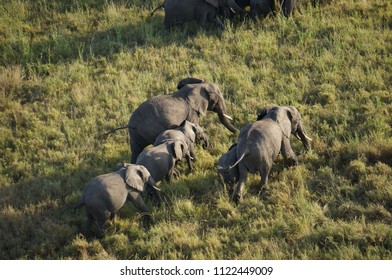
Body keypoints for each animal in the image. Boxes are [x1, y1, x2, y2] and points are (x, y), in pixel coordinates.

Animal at [103, 77, 236, 164]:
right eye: (218, 99)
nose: (237, 132)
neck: (197, 86)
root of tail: (131, 123)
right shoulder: (191, 112)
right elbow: (194, 127)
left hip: (135, 134)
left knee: (136, 150)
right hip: (150, 129)